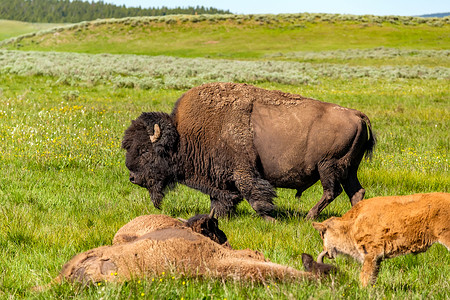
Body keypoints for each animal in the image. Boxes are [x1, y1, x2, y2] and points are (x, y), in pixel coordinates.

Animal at [122, 82, 376, 220]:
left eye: (145, 151)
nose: (133, 178)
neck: (183, 136)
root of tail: (357, 115)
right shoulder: (220, 179)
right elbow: (221, 199)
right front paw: (216, 217)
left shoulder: (243, 172)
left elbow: (253, 195)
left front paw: (270, 218)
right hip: (348, 169)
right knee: (355, 192)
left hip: (329, 166)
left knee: (331, 191)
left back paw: (309, 216)